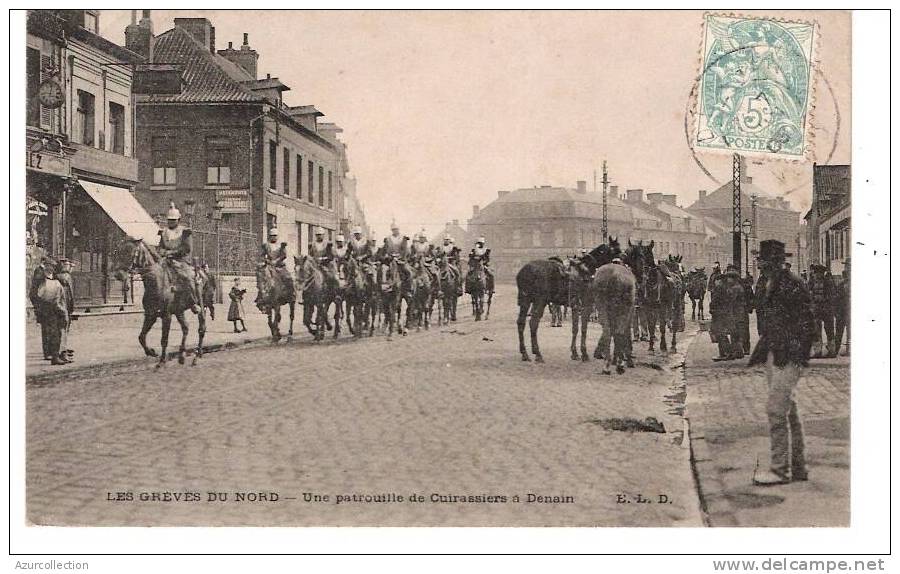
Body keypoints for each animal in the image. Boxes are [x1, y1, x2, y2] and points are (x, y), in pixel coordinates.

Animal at [125, 240, 207, 368]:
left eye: (134, 252)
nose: (122, 273)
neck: (156, 283)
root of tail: (202, 273)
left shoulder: (166, 315)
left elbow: (164, 339)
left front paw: (162, 360)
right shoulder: (150, 315)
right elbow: (141, 336)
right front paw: (151, 352)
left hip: (201, 304)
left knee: (201, 328)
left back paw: (197, 356)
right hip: (179, 311)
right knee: (185, 327)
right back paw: (181, 356)